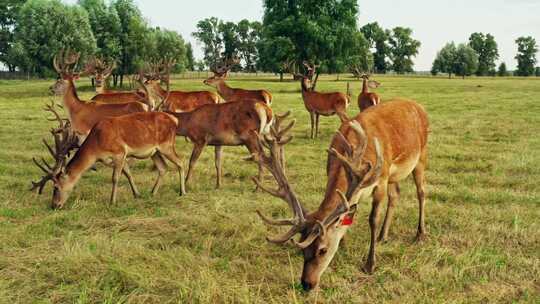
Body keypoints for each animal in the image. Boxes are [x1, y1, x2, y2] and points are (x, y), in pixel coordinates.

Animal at [32, 102, 188, 209]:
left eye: (56, 187)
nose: (54, 205)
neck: (97, 145)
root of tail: (175, 120)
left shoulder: (119, 152)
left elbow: (115, 178)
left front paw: (112, 201)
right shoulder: (122, 156)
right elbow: (128, 174)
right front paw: (137, 194)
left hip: (167, 145)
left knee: (180, 162)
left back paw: (182, 192)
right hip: (154, 151)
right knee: (163, 167)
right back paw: (153, 192)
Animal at [253, 99, 430, 290]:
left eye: (322, 250)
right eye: (302, 250)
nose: (307, 284)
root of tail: (418, 106)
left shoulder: (381, 179)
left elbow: (373, 219)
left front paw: (370, 264)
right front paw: (343, 246)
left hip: (421, 155)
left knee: (421, 192)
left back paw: (420, 234)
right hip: (394, 175)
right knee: (395, 195)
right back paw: (384, 236)